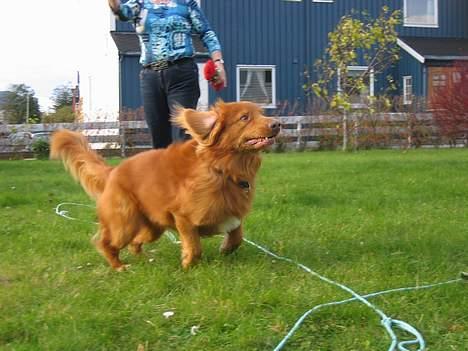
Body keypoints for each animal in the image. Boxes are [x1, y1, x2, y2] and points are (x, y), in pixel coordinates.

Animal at [49, 100, 280, 270]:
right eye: (244, 117)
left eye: (261, 113)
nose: (277, 123)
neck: (221, 169)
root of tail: (113, 171)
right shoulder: (183, 217)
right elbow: (194, 246)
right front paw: (188, 264)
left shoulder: (231, 213)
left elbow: (237, 236)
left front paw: (225, 248)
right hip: (125, 223)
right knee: (106, 243)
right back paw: (119, 266)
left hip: (153, 227)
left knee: (135, 242)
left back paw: (144, 258)